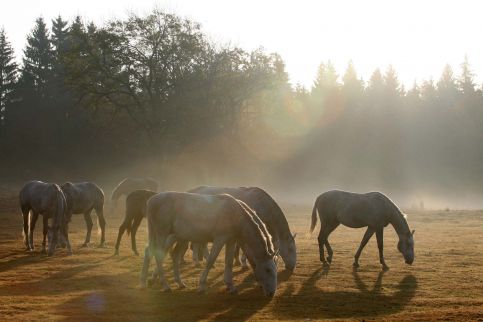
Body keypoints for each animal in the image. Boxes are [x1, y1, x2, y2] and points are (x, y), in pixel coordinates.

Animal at [140, 191, 278, 296]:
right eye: (268, 270)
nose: (272, 293)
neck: (234, 214)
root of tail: (151, 200)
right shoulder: (220, 239)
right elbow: (211, 260)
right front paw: (202, 286)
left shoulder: (231, 240)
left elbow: (228, 261)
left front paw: (231, 286)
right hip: (162, 234)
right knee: (158, 255)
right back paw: (165, 285)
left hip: (175, 236)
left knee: (164, 254)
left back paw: (154, 283)